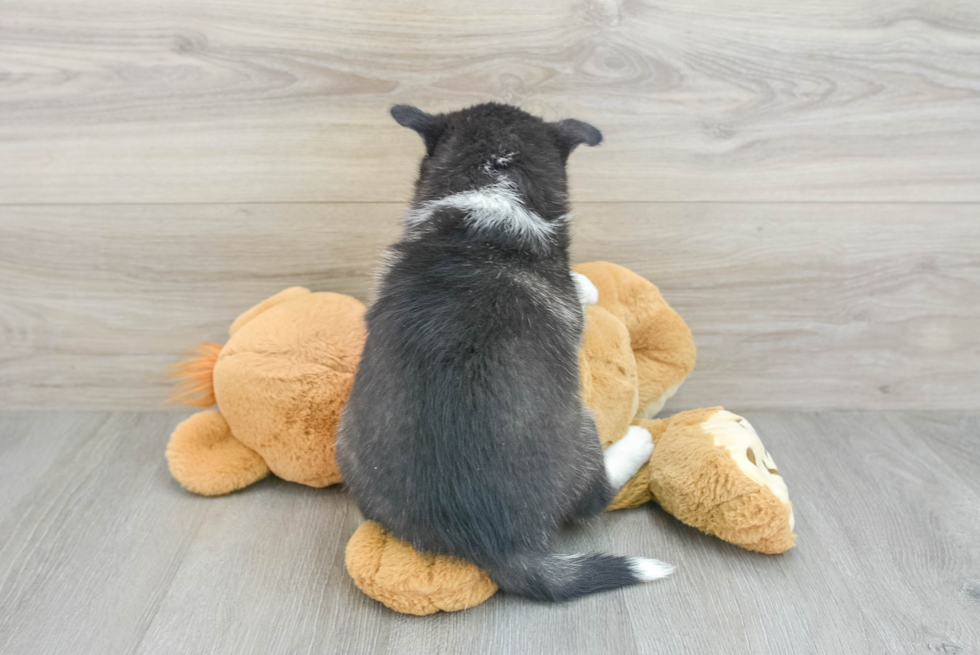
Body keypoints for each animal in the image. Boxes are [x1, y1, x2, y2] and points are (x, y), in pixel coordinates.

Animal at [338, 104, 672, 604]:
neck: (492, 182)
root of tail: (498, 545)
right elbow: (579, 289)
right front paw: (588, 285)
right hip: (583, 429)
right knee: (595, 497)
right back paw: (637, 439)